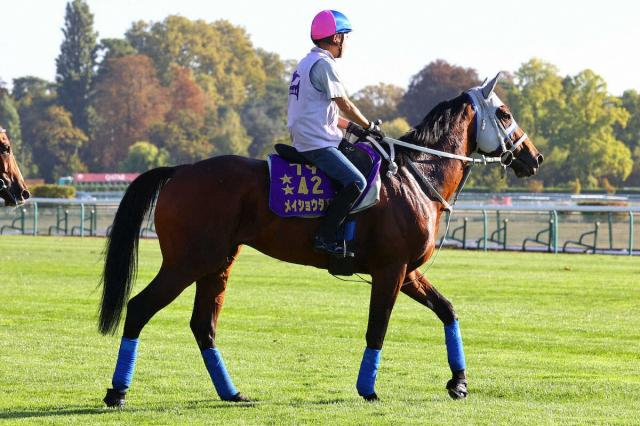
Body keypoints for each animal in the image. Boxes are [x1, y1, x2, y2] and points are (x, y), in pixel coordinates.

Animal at [98, 74, 543, 406]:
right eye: (504, 113)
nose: (534, 157)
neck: (416, 175)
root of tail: (180, 170)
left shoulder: (408, 272)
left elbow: (447, 310)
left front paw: (459, 382)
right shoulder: (391, 271)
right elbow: (377, 328)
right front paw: (368, 388)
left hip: (217, 265)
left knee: (202, 326)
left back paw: (232, 393)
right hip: (186, 263)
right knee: (139, 309)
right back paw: (118, 391)